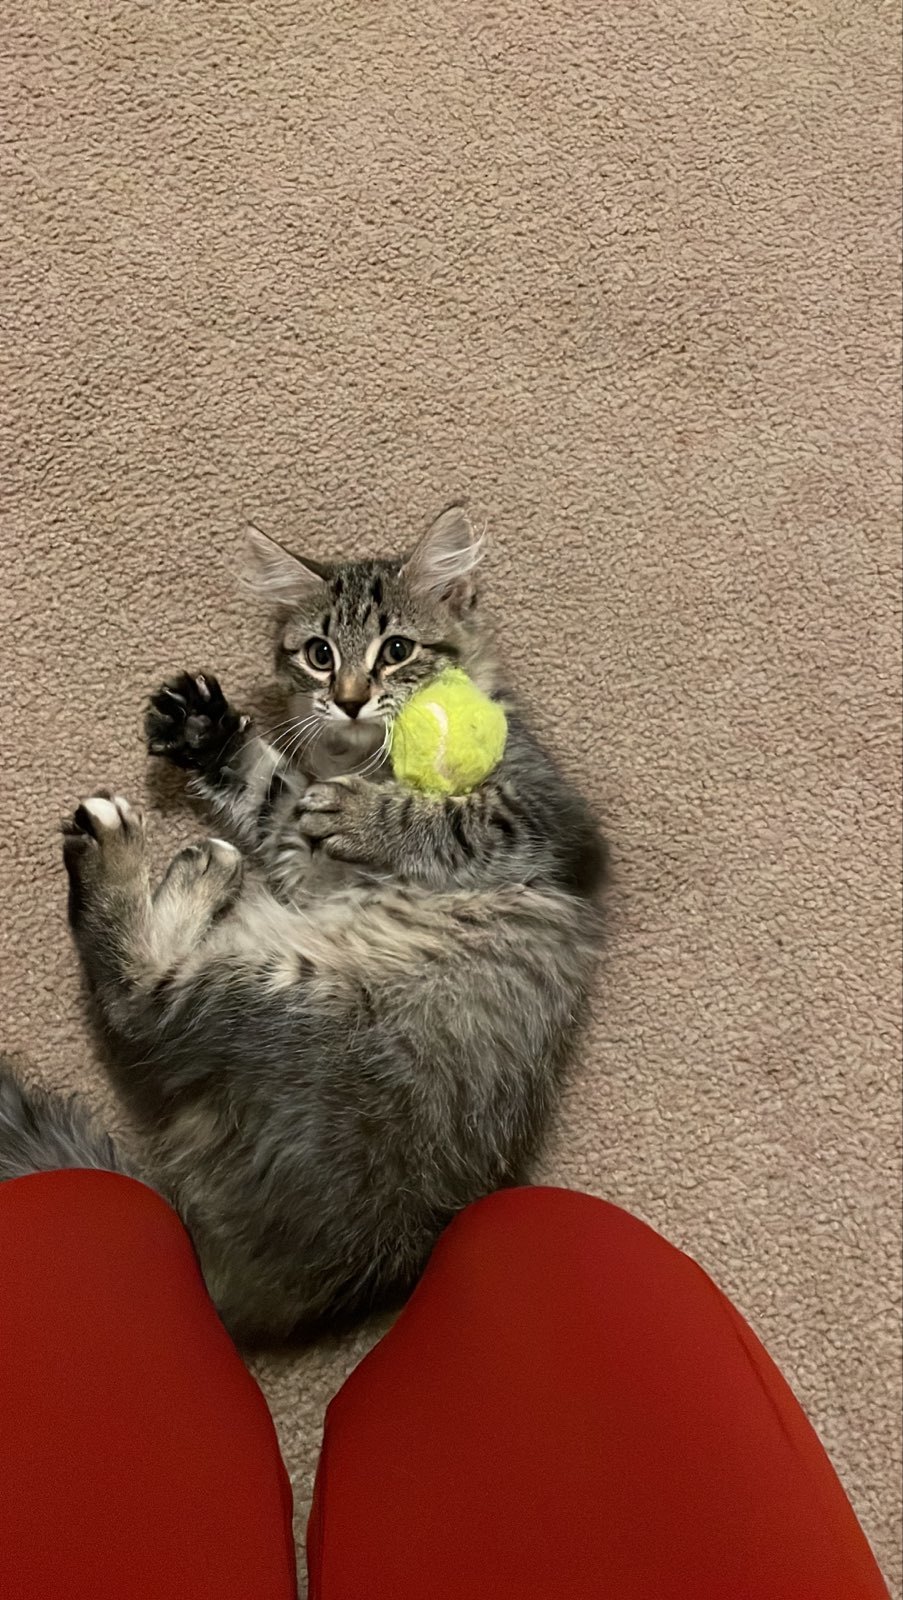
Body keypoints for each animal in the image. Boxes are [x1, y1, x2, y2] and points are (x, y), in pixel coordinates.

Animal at [1, 505, 605, 1344]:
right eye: (320, 655)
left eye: (396, 651)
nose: (349, 698)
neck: (361, 758)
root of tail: (213, 1268)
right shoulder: (299, 855)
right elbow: (272, 784)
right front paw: (208, 730)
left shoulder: (544, 821)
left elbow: (439, 818)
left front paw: (362, 809)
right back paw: (198, 866)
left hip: (290, 991)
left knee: (135, 1000)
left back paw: (137, 853)